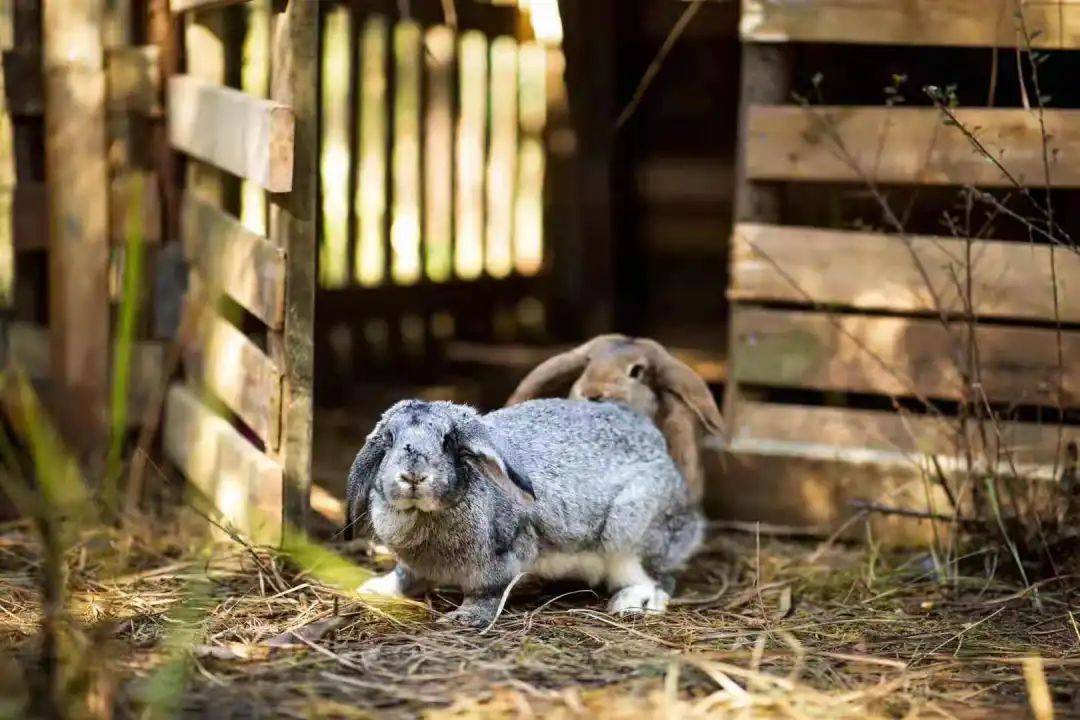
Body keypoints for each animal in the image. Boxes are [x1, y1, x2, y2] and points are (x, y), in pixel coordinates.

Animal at [343, 397, 699, 626]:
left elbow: (486, 593)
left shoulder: (501, 559)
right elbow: (404, 577)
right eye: (388, 440)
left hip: (629, 535)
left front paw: (463, 618)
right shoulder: (414, 566)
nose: (413, 475)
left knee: (660, 579)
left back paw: (631, 604)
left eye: (448, 441)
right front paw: (371, 590)